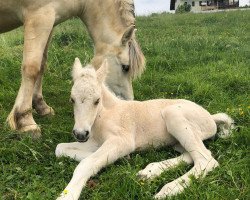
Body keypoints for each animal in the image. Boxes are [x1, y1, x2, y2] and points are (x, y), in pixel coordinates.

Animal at [0, 0, 145, 138]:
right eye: (126, 67)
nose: (128, 104)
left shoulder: (50, 23)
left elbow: (41, 64)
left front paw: (41, 106)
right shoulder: (39, 18)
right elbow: (32, 68)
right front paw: (25, 122)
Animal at [56, 57, 234, 198]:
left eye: (97, 100)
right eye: (72, 99)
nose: (80, 134)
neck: (103, 116)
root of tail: (210, 117)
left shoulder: (122, 140)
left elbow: (87, 163)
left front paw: (67, 195)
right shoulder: (95, 142)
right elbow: (60, 149)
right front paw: (122, 158)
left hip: (174, 115)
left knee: (206, 160)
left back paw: (167, 191)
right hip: (179, 139)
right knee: (193, 154)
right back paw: (148, 173)